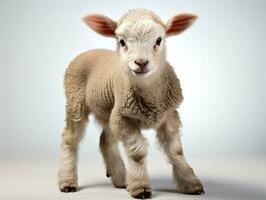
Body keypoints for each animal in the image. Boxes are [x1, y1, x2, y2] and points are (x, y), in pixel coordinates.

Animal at [57, 8, 204, 198]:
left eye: (159, 40)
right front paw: (140, 187)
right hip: (76, 103)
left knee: (105, 139)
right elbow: (137, 153)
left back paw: (120, 178)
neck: (151, 99)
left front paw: (191, 183)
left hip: (108, 109)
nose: (141, 63)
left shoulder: (169, 115)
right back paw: (67, 181)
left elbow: (176, 151)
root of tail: (88, 51)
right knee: (69, 139)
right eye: (121, 41)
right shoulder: (124, 118)